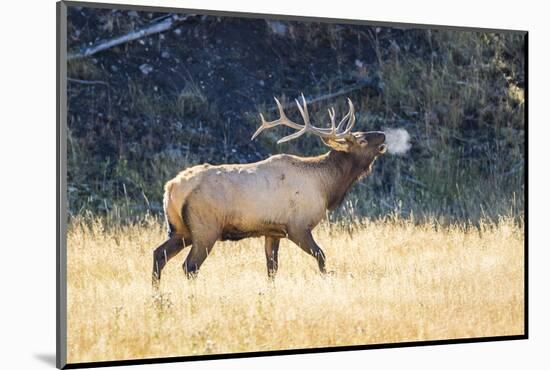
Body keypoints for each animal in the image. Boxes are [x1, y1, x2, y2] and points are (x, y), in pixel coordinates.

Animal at [152, 94, 388, 284]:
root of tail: (170, 188)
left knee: (158, 254)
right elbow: (321, 257)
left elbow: (272, 269)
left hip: (181, 229)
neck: (326, 187)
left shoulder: (272, 231)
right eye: (362, 140)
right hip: (205, 228)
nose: (383, 134)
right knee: (189, 266)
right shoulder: (297, 226)